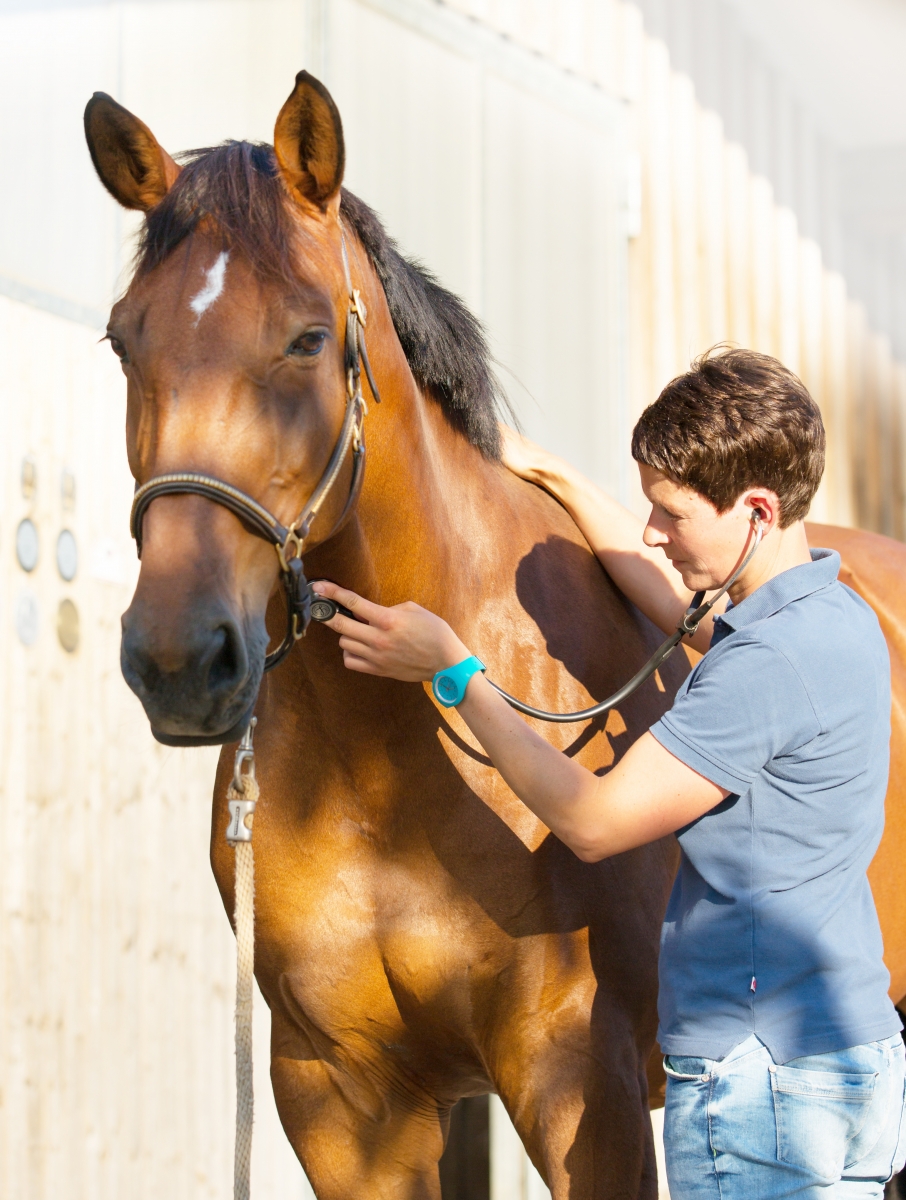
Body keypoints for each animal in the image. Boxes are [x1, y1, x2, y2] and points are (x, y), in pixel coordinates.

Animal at [83, 72, 906, 1190]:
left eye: (307, 338)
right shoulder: (341, 1105)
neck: (381, 768)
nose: (178, 657)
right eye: (123, 339)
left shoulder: (581, 1086)